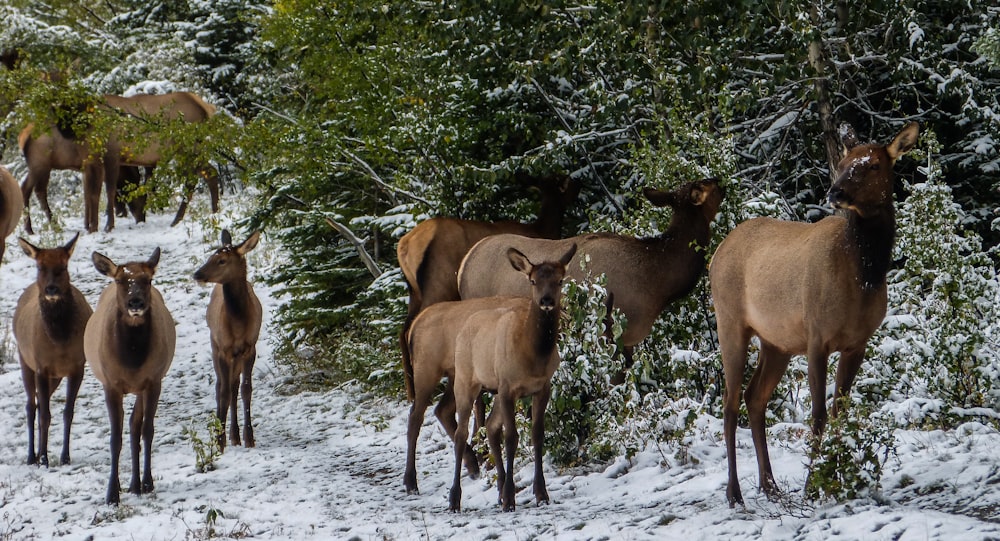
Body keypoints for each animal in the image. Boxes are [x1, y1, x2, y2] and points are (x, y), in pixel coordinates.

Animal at [13, 234, 92, 466]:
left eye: (63, 266)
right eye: (40, 266)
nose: (51, 289)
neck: (59, 342)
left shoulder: (77, 366)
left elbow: (68, 412)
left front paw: (65, 456)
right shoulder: (41, 366)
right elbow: (45, 415)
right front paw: (44, 458)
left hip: (55, 377)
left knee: (40, 403)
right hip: (24, 360)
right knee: (32, 406)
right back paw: (32, 456)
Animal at [84, 247, 176, 504]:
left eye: (148, 279)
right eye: (119, 280)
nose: (136, 302)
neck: (132, 360)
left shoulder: (153, 381)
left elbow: (147, 430)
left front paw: (147, 482)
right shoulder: (111, 384)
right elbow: (115, 438)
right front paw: (111, 494)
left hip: (141, 388)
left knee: (135, 426)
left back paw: (136, 484)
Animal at [193, 230, 264, 450]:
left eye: (222, 260)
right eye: (210, 257)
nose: (197, 274)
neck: (239, 324)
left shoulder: (250, 347)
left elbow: (246, 389)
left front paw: (249, 438)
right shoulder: (224, 349)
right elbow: (223, 391)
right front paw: (219, 440)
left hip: (237, 356)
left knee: (234, 386)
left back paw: (235, 435)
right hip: (215, 346)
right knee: (221, 386)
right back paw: (228, 434)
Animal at [708, 122, 916, 506]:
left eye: (873, 164)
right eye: (844, 162)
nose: (836, 192)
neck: (863, 276)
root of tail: (716, 253)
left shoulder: (857, 343)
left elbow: (839, 413)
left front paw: (835, 478)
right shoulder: (817, 338)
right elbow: (818, 415)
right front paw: (812, 487)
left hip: (776, 343)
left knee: (754, 397)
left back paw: (770, 485)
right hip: (730, 323)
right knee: (729, 403)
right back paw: (735, 493)